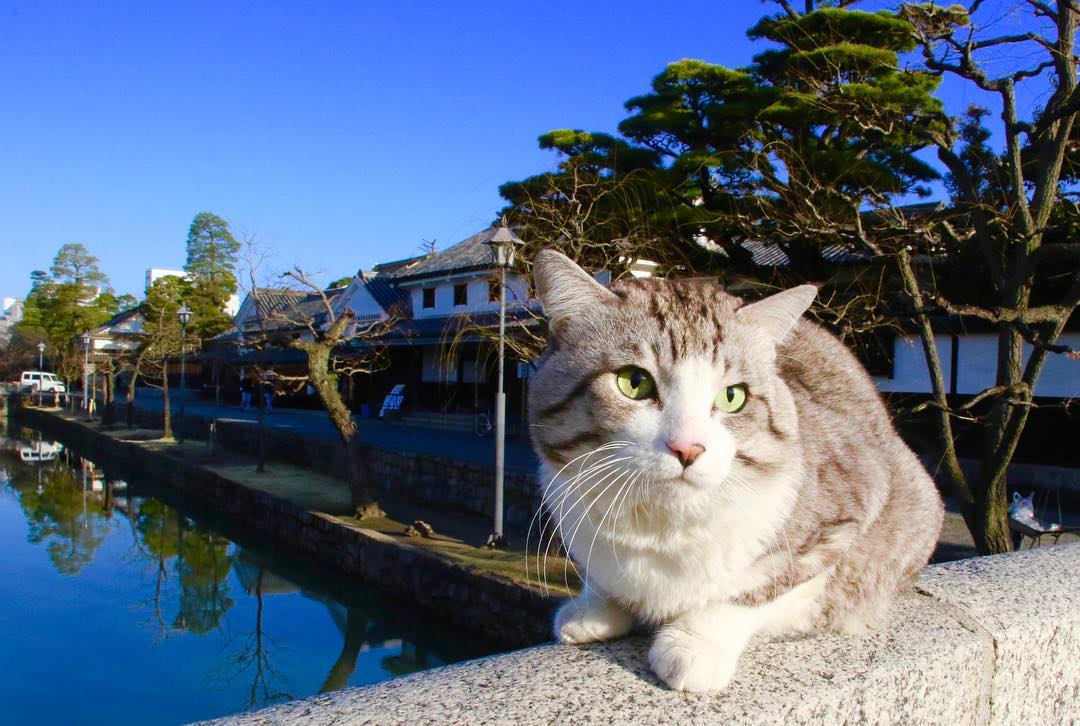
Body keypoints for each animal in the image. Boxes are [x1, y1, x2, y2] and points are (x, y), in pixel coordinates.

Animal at [527, 249, 941, 691]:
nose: (688, 447)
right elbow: (602, 574)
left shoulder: (848, 510)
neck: (662, 524)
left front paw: (696, 642)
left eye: (732, 397)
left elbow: (762, 587)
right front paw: (596, 607)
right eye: (634, 382)